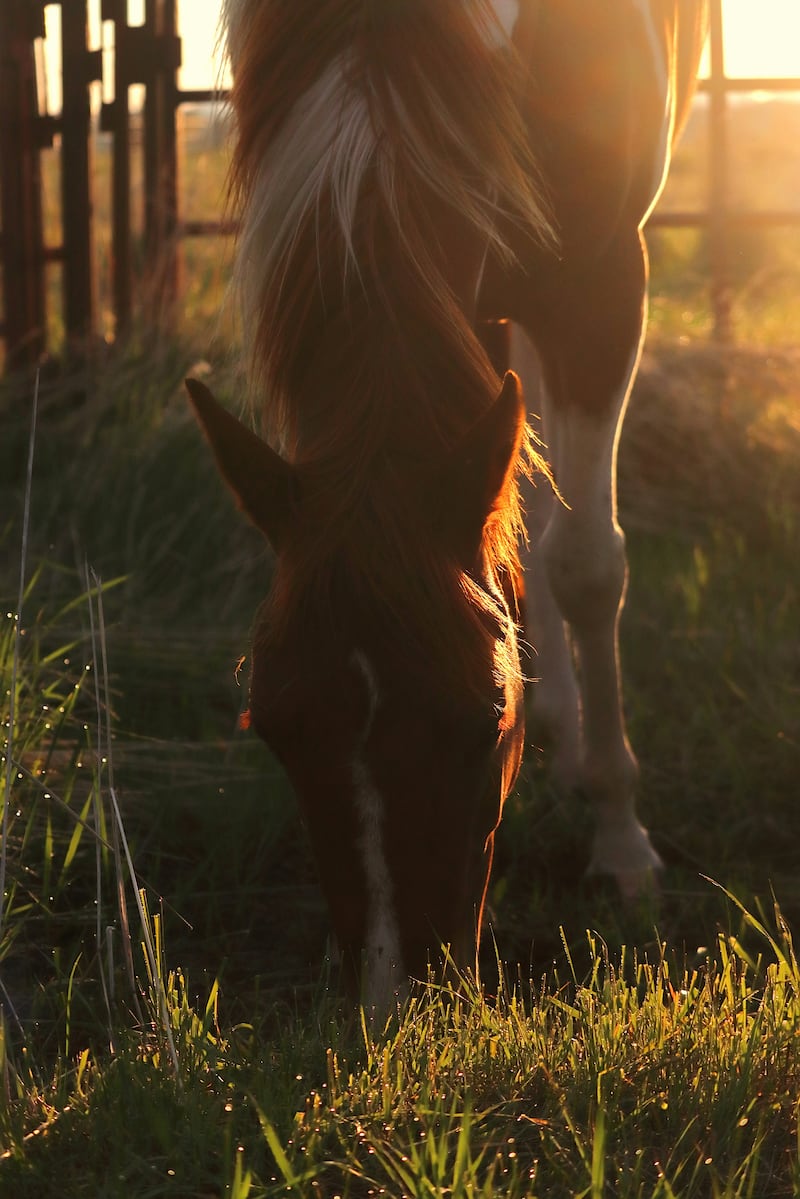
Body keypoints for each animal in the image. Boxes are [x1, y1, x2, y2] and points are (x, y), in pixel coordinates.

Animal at [186, 0, 708, 1008]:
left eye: (484, 721)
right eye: (272, 728)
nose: (398, 1001)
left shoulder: (603, 284)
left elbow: (588, 565)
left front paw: (622, 841)